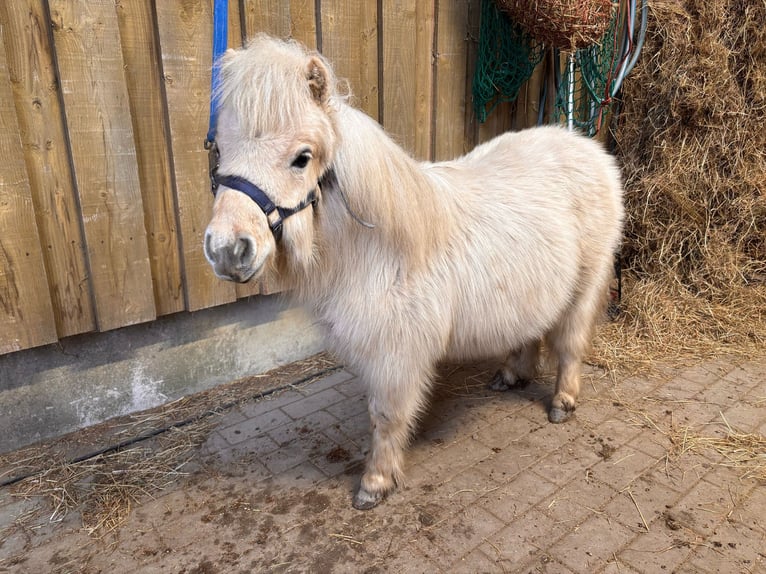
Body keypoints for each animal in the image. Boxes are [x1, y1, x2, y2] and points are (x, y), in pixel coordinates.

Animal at [204, 34, 624, 509]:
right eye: (220, 149)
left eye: (302, 158)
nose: (227, 250)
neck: (378, 250)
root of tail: (588, 148)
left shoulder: (396, 354)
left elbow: (385, 416)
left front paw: (375, 482)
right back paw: (513, 374)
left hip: (586, 287)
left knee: (570, 344)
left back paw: (562, 402)